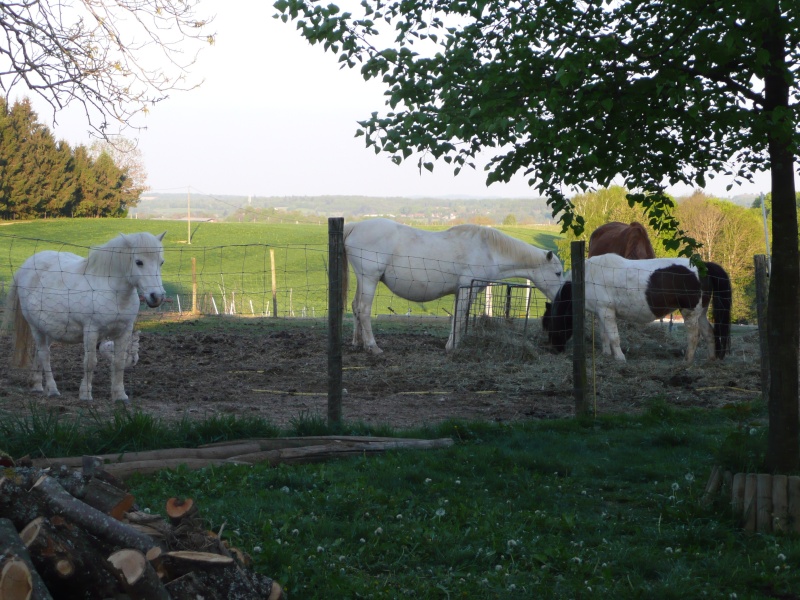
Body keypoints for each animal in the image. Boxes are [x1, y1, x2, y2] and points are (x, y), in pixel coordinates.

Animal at [1, 232, 166, 400]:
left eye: (161, 262)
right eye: (139, 262)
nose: (157, 297)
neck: (111, 292)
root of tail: (26, 265)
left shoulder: (124, 331)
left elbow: (119, 362)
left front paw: (120, 395)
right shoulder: (91, 331)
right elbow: (90, 362)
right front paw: (85, 394)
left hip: (48, 329)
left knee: (39, 354)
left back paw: (37, 385)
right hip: (35, 327)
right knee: (45, 355)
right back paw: (53, 390)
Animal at [344, 219, 564, 352]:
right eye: (558, 273)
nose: (561, 297)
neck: (489, 250)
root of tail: (356, 226)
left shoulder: (461, 291)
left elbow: (457, 317)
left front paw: (451, 344)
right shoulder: (468, 289)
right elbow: (459, 317)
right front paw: (453, 347)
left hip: (363, 280)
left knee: (355, 307)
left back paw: (358, 342)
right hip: (369, 279)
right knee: (363, 309)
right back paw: (373, 346)